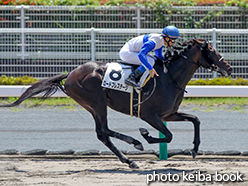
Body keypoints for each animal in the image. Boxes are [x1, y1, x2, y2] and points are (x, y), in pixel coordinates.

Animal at [0, 38, 232, 169]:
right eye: (212, 50)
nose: (229, 68)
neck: (170, 77)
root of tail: (71, 74)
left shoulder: (169, 114)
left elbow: (195, 120)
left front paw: (194, 149)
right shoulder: (149, 115)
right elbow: (168, 136)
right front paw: (145, 136)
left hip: (92, 105)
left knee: (102, 133)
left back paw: (130, 156)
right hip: (96, 101)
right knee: (103, 131)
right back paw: (134, 146)